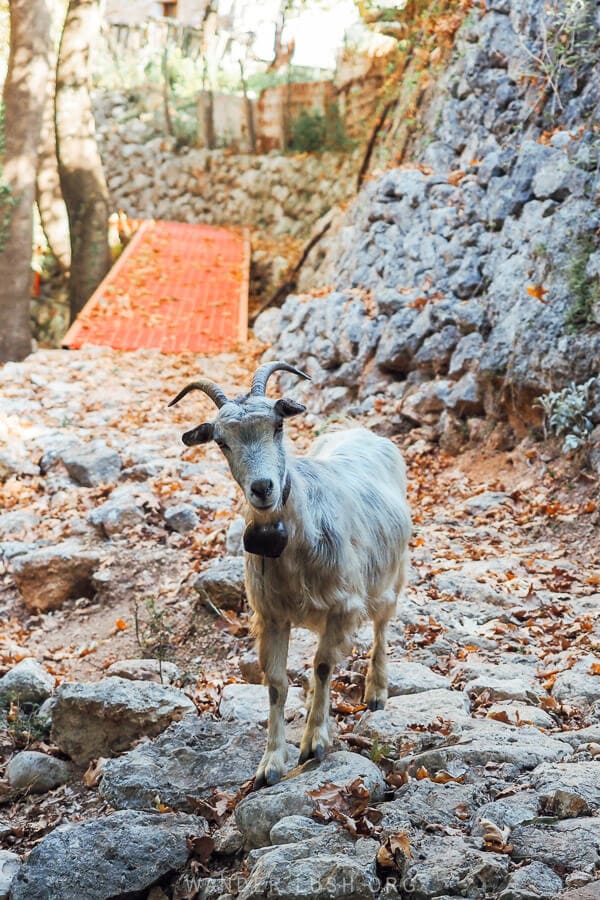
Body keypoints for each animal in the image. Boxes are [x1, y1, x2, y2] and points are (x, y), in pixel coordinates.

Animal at [171, 362, 410, 784]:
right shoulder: (271, 616)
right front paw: (270, 762)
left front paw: (314, 742)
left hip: (389, 576)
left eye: (278, 425)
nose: (263, 487)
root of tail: (362, 432)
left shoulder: (343, 604)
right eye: (221, 441)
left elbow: (324, 666)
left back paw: (376, 691)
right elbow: (277, 684)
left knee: (382, 625)